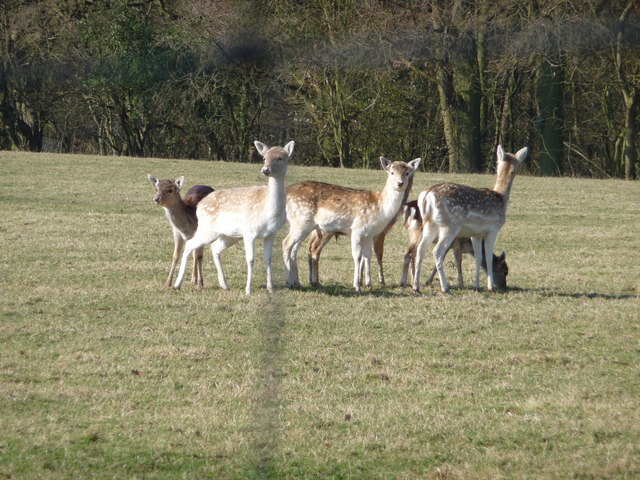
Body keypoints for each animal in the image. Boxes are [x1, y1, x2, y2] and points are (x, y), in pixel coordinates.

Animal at [174, 141, 296, 294]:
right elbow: (250, 260)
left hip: (229, 235)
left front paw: (271, 289)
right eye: (264, 157)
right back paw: (177, 284)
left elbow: (268, 259)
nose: (265, 170)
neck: (268, 211)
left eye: (280, 158)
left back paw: (224, 284)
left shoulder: (271, 234)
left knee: (214, 247)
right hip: (207, 229)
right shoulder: (249, 231)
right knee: (190, 244)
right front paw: (248, 290)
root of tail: (199, 206)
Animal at [282, 158, 420, 292]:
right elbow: (357, 256)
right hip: (302, 221)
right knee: (286, 243)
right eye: (392, 172)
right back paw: (289, 282)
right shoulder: (357, 229)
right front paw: (357, 286)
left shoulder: (370, 234)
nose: (400, 183)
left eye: (407, 173)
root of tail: (286, 191)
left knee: (295, 248)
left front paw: (369, 284)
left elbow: (367, 256)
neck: (379, 207)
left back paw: (297, 282)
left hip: (304, 225)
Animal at [412, 142, 528, 292]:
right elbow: (488, 257)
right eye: (505, 271)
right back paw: (445, 287)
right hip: (449, 225)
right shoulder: (493, 229)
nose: (503, 285)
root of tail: (427, 196)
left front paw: (477, 285)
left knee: (421, 249)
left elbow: (478, 257)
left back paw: (416, 286)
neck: (501, 198)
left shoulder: (476, 234)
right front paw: (490, 287)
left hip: (430, 224)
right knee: (437, 251)